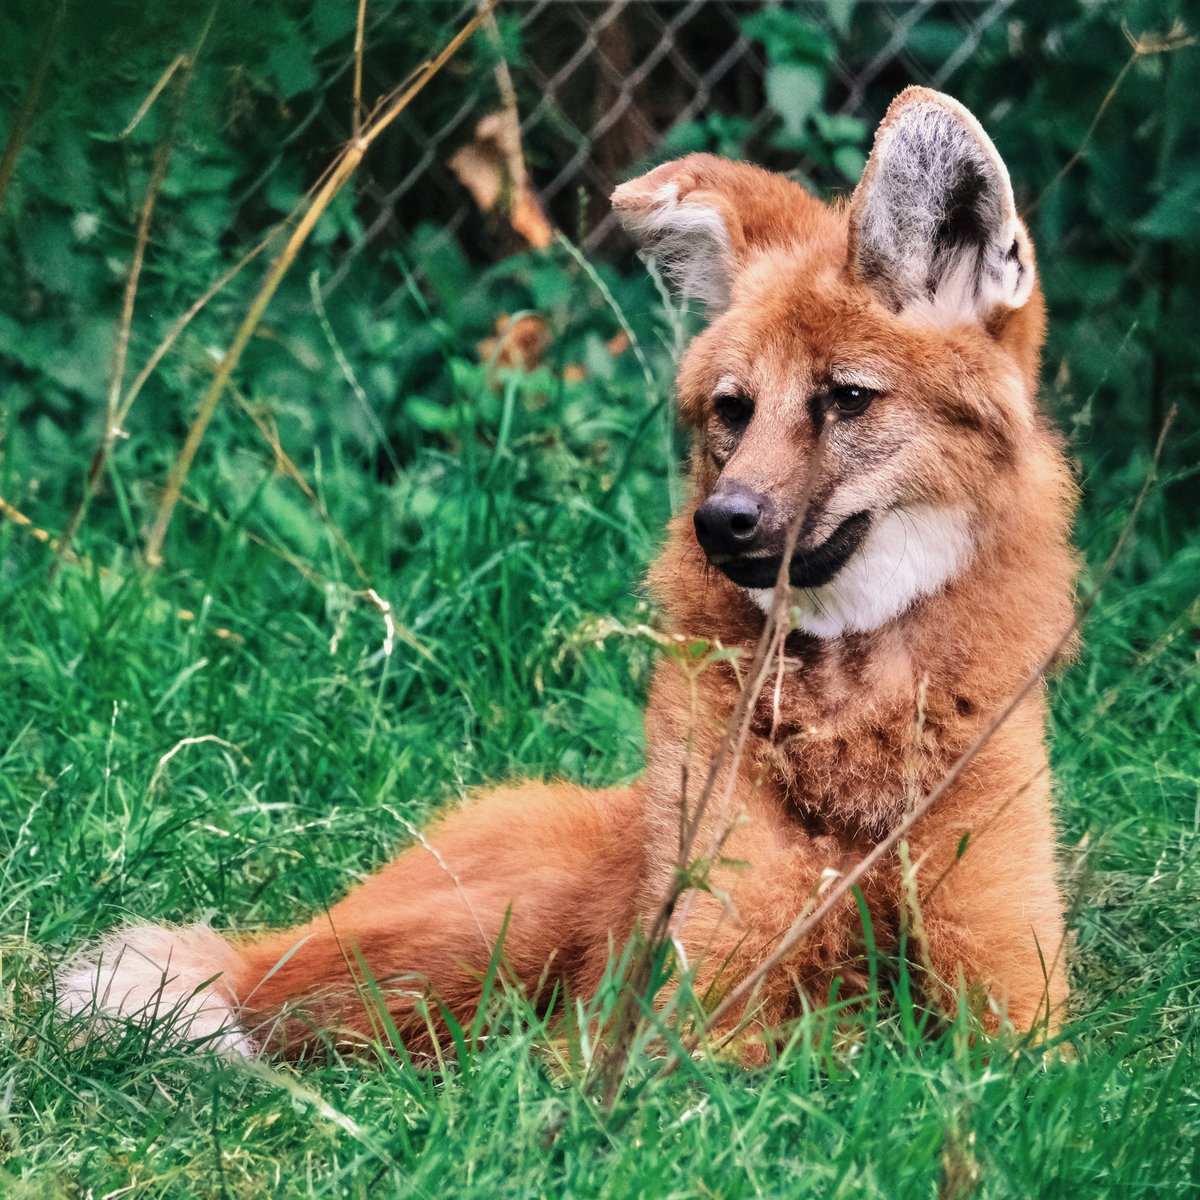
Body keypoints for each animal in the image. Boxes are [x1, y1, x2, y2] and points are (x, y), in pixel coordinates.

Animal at [56, 87, 1078, 1061]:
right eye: (734, 410)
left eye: (848, 399)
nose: (723, 521)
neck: (847, 711)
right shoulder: (694, 1000)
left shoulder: (1020, 1011)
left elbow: (994, 1049)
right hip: (485, 938)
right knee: (269, 996)